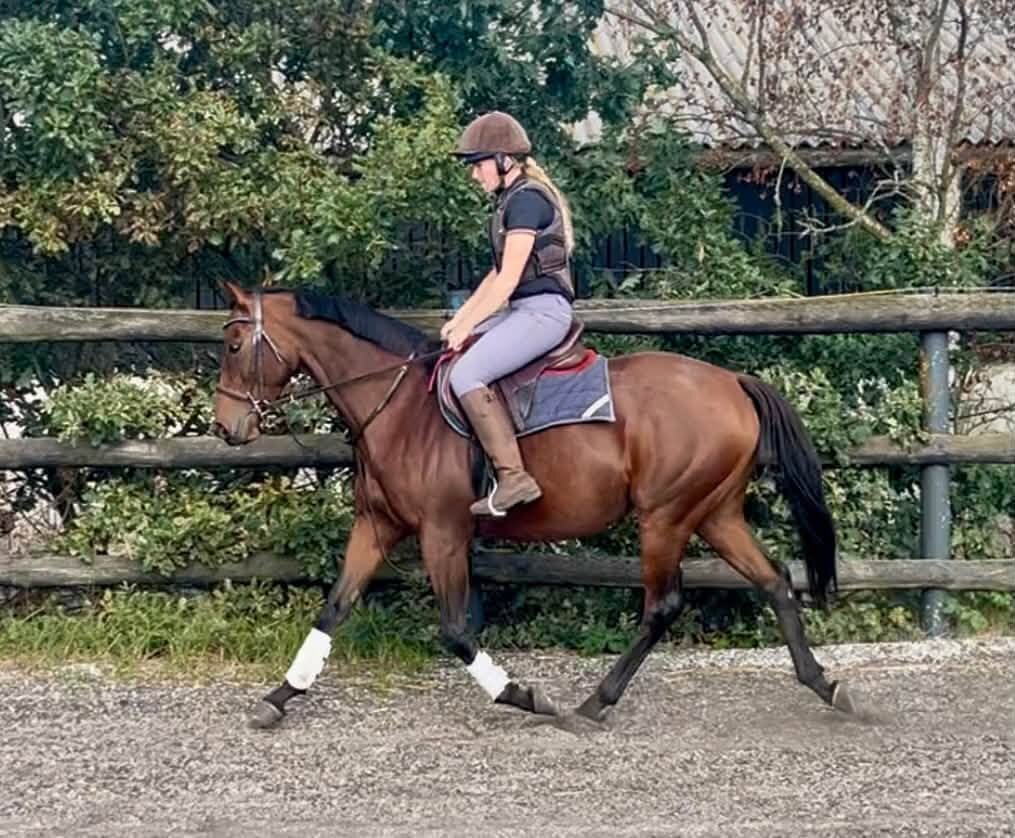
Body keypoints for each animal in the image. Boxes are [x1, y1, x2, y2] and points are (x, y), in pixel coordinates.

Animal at [212, 282, 856, 728]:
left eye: (235, 343)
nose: (225, 428)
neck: (396, 407)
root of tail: (731, 383)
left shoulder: (442, 533)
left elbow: (455, 631)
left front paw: (521, 694)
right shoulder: (377, 526)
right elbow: (333, 609)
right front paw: (279, 697)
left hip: (666, 517)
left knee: (662, 605)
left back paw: (594, 703)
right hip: (715, 514)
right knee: (774, 581)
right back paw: (824, 684)